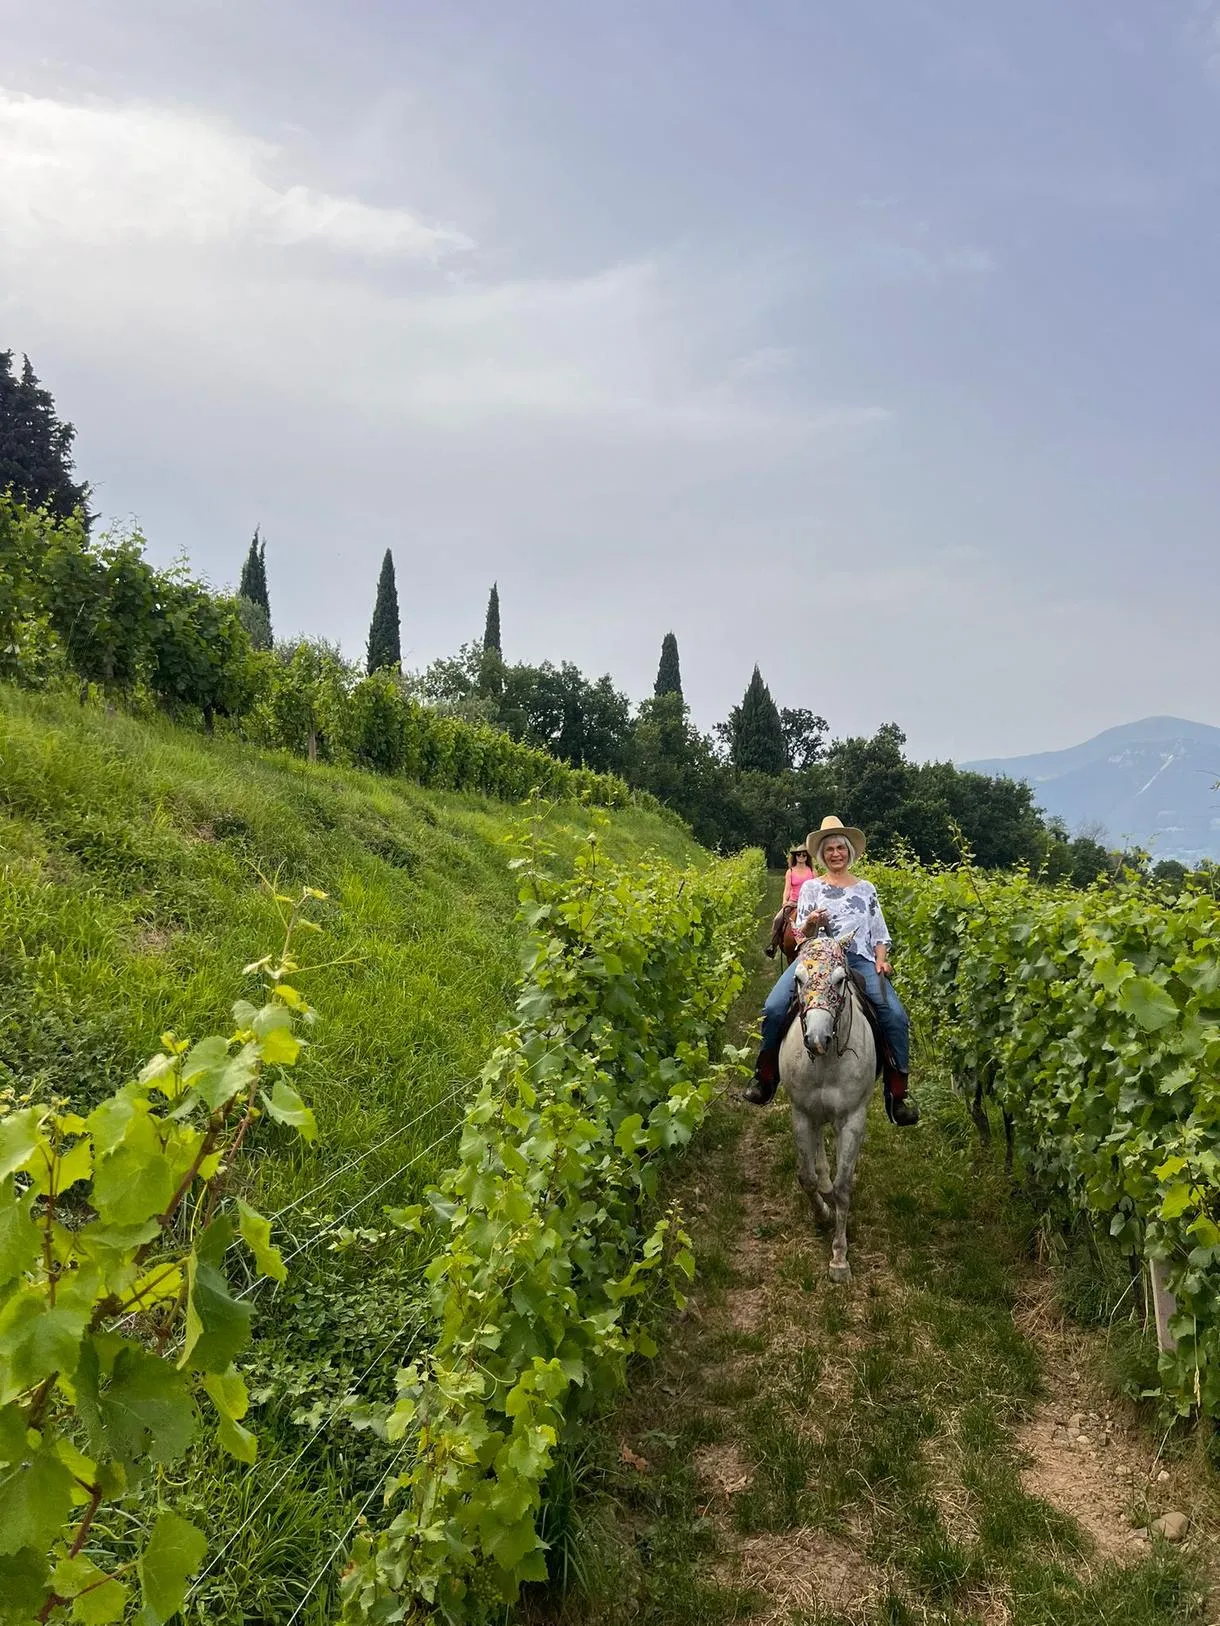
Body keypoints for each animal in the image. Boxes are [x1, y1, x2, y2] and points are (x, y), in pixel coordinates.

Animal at [778, 932, 877, 1284]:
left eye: (840, 979)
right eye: (797, 979)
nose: (817, 1039)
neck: (825, 1062)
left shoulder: (852, 1118)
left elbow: (844, 1186)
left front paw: (839, 1258)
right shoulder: (800, 1113)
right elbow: (805, 1176)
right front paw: (821, 1214)